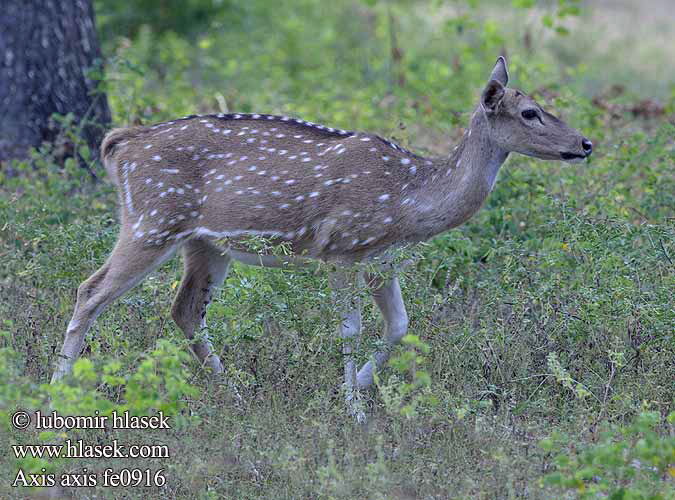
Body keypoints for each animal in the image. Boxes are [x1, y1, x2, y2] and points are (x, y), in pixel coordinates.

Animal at [51, 56, 592, 412]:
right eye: (529, 112)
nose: (585, 143)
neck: (408, 201)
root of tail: (121, 144)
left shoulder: (381, 259)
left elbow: (400, 325)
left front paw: (362, 388)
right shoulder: (341, 250)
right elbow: (350, 329)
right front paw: (352, 410)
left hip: (205, 242)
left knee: (184, 310)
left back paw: (235, 394)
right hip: (151, 221)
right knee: (90, 290)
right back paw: (57, 390)